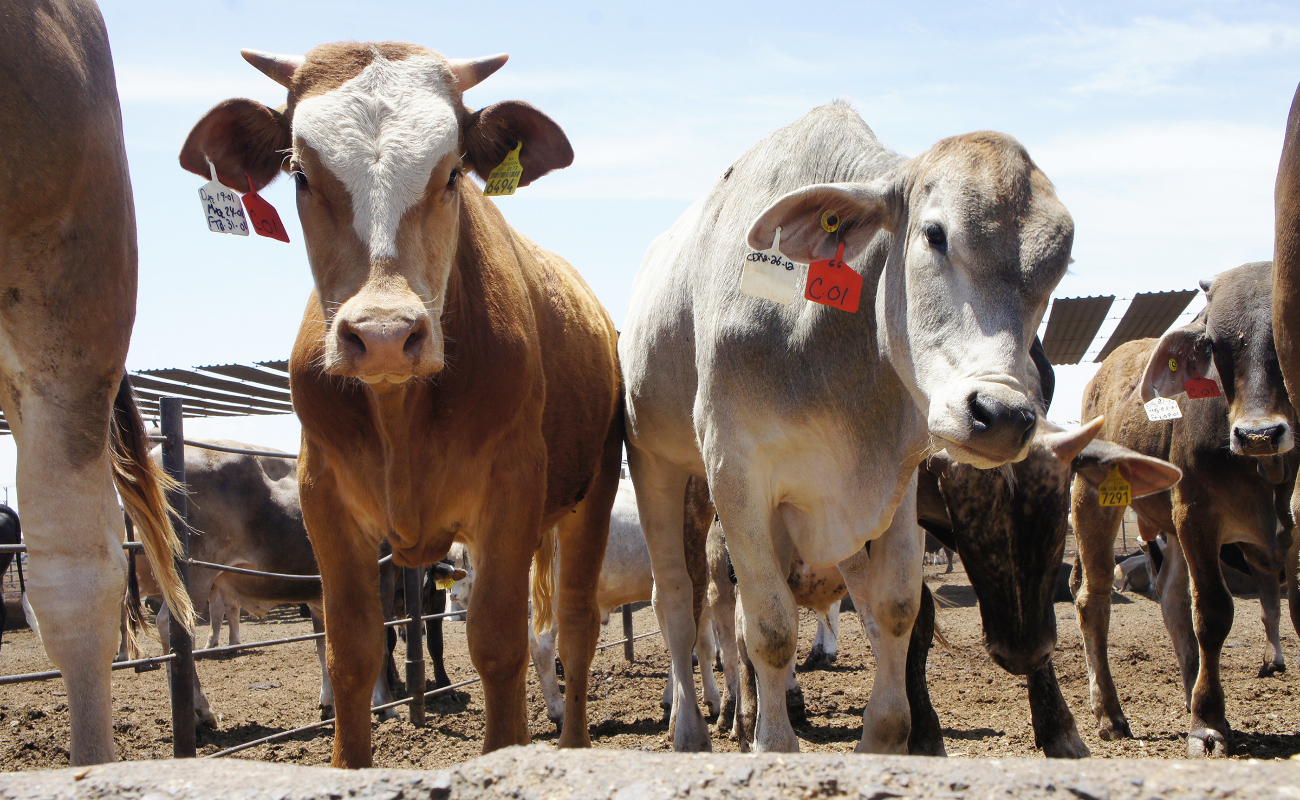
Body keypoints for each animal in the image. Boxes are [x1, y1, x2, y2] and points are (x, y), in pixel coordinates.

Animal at [180, 43, 621, 770]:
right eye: (299, 174)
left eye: (452, 174)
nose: (384, 334)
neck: (401, 416)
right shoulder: (324, 497)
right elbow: (354, 651)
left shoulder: (512, 487)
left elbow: (497, 644)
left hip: (593, 494)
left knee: (577, 627)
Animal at [624, 101, 1071, 749]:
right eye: (934, 234)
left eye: (1059, 266)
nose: (1003, 414)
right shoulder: (735, 472)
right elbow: (769, 627)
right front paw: (772, 742)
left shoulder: (894, 479)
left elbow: (897, 610)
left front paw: (887, 737)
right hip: (658, 467)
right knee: (680, 606)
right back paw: (689, 728)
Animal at [1076, 262, 1300, 759]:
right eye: (1214, 344)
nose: (1258, 435)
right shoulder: (1197, 513)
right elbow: (1212, 613)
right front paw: (1208, 724)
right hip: (1094, 501)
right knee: (1092, 600)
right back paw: (1109, 713)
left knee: (1171, 599)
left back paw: (1188, 689)